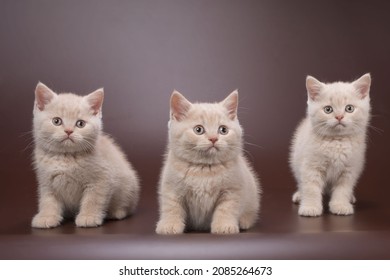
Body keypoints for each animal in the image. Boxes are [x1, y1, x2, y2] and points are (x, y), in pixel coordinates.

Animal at [31, 82, 140, 228]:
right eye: (56, 121)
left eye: (80, 124)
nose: (68, 131)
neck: (66, 157)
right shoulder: (47, 181)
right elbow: (47, 200)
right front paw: (46, 217)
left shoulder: (101, 179)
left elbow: (93, 199)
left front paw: (88, 217)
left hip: (128, 186)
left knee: (126, 206)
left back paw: (116, 212)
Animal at [155, 90, 258, 234]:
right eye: (198, 129)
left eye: (223, 130)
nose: (213, 138)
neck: (204, 168)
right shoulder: (171, 188)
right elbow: (172, 207)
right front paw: (169, 225)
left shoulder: (232, 190)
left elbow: (226, 209)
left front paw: (224, 226)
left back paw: (244, 221)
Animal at [290, 74, 372, 217]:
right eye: (328, 109)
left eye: (349, 108)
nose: (339, 117)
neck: (337, 141)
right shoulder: (311, 166)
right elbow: (310, 188)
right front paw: (310, 207)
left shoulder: (349, 169)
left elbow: (343, 189)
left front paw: (340, 205)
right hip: (296, 162)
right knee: (301, 182)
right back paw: (300, 195)